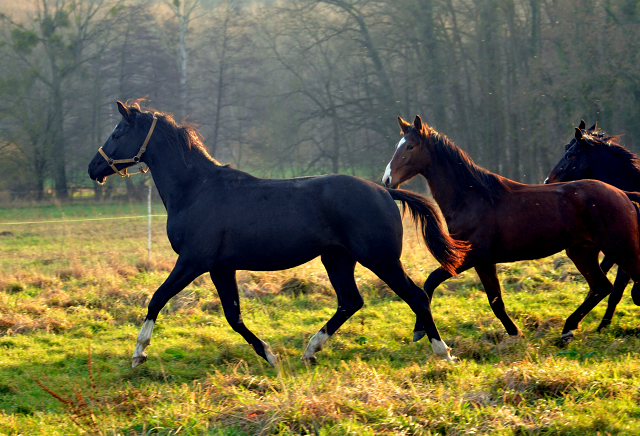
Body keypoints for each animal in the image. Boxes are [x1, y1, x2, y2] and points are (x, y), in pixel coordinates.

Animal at [87, 101, 468, 364]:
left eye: (118, 133)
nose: (93, 167)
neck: (196, 190)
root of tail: (386, 191)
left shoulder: (193, 262)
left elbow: (157, 298)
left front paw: (139, 352)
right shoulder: (221, 267)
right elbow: (234, 316)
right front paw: (269, 354)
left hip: (381, 259)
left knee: (415, 296)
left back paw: (443, 352)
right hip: (337, 259)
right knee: (350, 301)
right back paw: (311, 349)